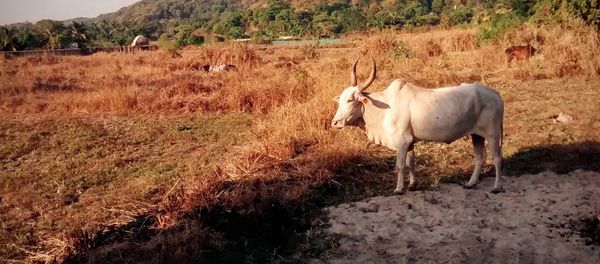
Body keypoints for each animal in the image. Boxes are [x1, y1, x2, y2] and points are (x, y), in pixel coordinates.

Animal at [330, 57, 504, 194]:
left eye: (350, 100)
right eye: (341, 99)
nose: (335, 122)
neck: (384, 107)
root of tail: (496, 94)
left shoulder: (402, 141)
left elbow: (400, 165)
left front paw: (399, 189)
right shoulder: (410, 142)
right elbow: (411, 163)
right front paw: (412, 185)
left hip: (493, 134)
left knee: (497, 158)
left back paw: (496, 187)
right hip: (477, 135)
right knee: (481, 157)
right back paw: (471, 183)